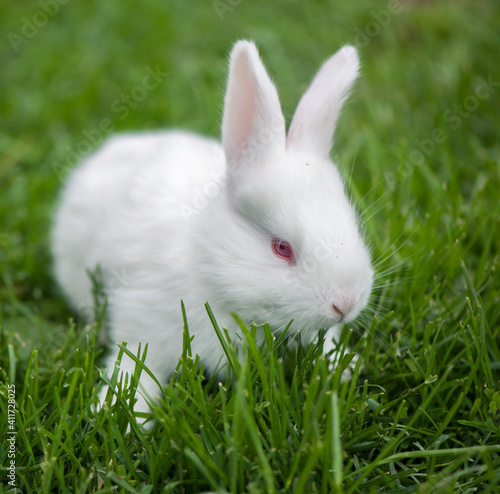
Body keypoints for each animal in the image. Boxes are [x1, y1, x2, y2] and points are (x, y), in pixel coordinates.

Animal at [51, 39, 372, 416]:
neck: (207, 261)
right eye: (281, 248)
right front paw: (115, 411)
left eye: (351, 222)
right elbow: (135, 368)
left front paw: (345, 365)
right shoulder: (141, 320)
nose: (345, 304)